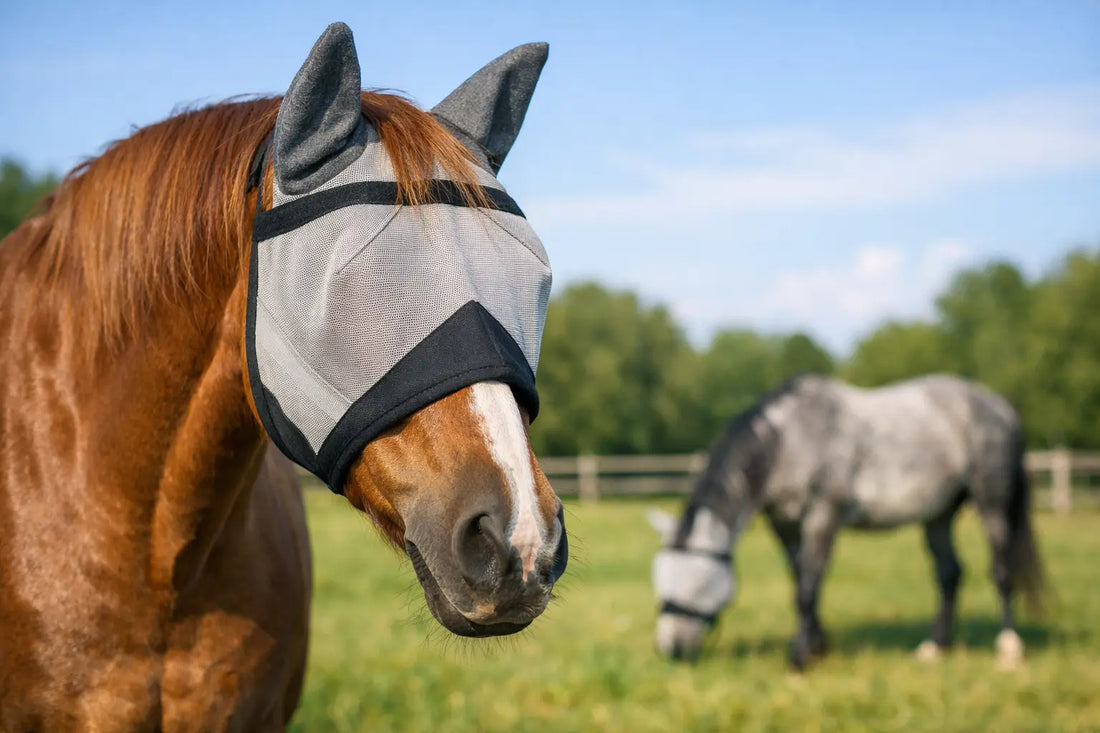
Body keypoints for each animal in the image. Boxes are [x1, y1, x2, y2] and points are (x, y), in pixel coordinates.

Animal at [648, 373, 1044, 670]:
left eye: (700, 584)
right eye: (660, 582)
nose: (671, 648)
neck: (789, 441)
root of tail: (1000, 406)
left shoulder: (823, 516)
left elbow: (809, 587)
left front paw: (800, 657)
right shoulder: (786, 527)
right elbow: (800, 581)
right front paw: (817, 646)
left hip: (991, 500)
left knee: (1001, 570)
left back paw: (1009, 648)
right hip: (939, 513)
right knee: (950, 573)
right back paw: (935, 647)